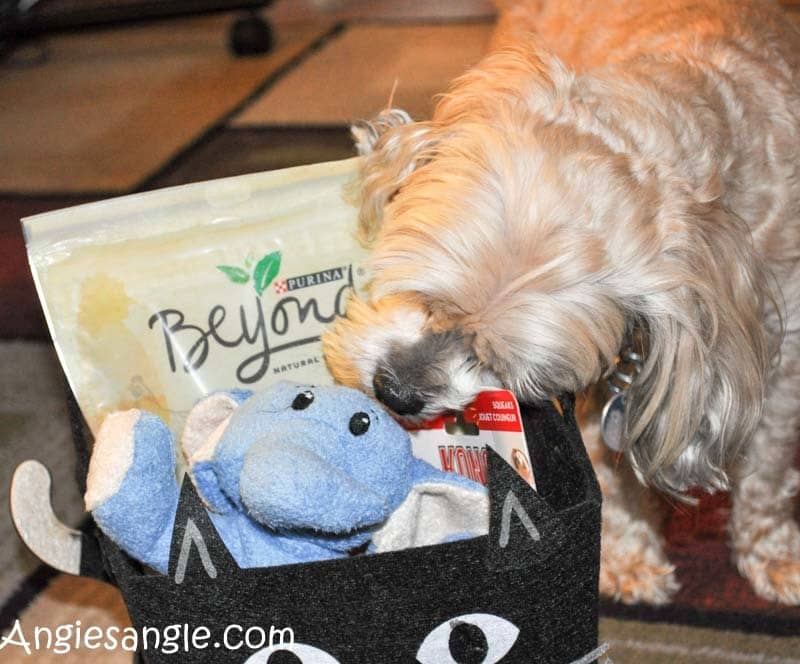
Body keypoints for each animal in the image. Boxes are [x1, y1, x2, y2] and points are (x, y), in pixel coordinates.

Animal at [322, 0, 800, 604]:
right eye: (425, 295)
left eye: (500, 363)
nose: (396, 393)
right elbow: (605, 471)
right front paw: (625, 556)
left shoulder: (782, 364)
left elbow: (766, 473)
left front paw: (773, 552)